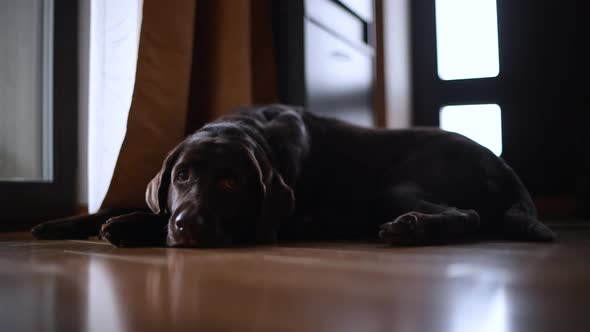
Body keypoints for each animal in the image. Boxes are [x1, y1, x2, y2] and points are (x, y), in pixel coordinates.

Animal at [32, 104, 560, 246]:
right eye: (180, 176)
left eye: (231, 183)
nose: (188, 226)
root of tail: (502, 163)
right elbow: (128, 202)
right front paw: (58, 223)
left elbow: (143, 216)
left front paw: (126, 227)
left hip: (401, 183)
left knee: (470, 216)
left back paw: (410, 229)